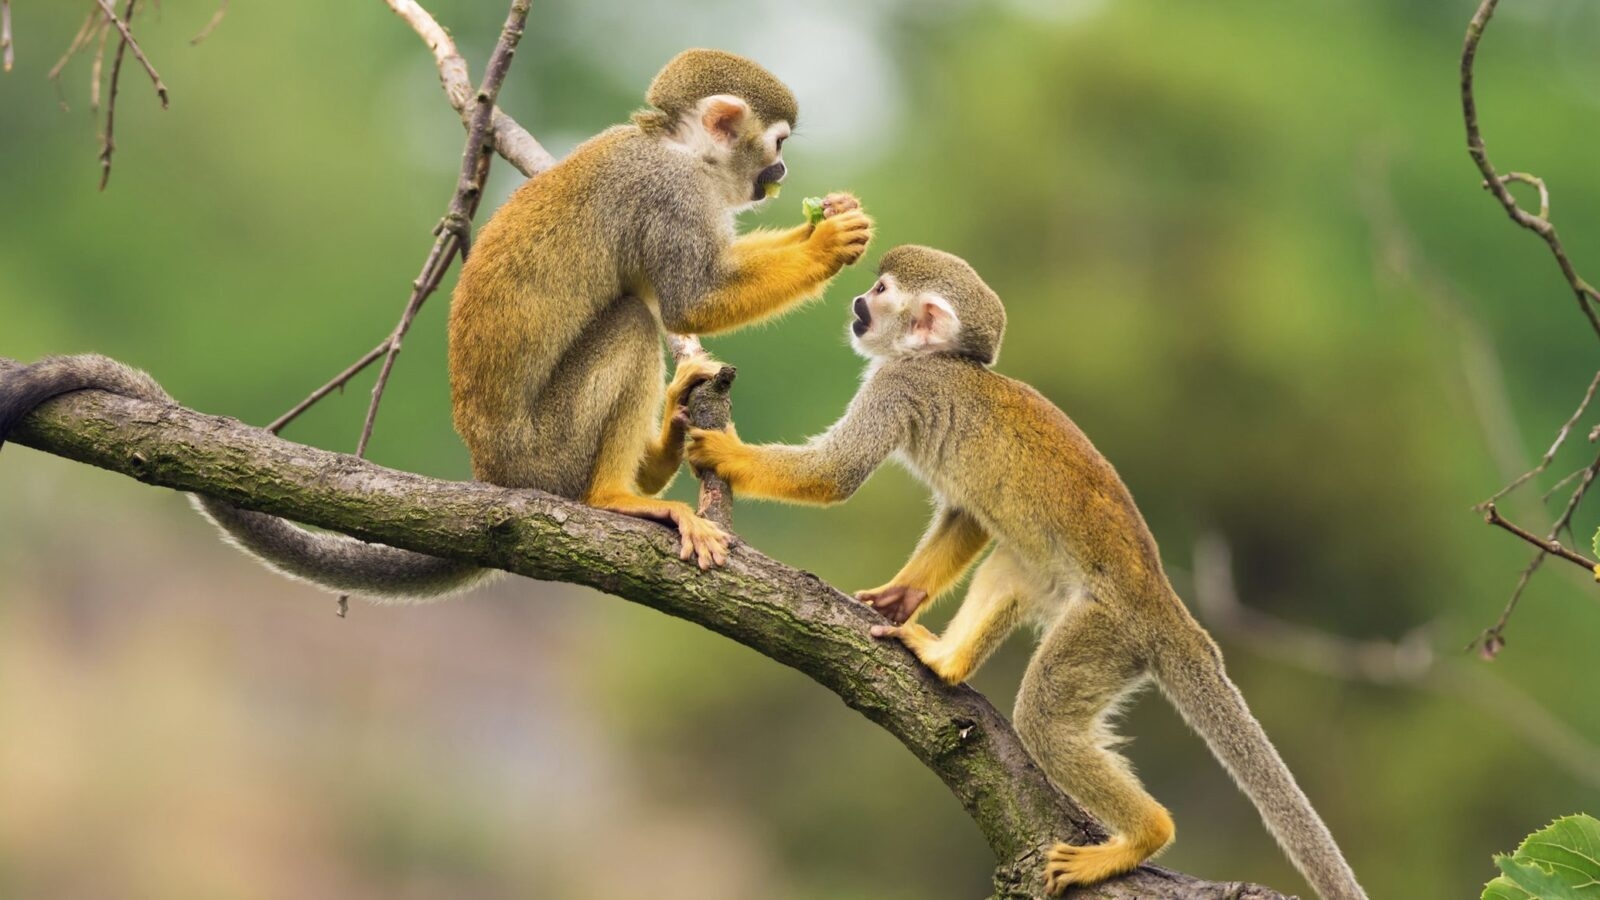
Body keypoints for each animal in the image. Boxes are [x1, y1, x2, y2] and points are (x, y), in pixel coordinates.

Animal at [0, 49, 872, 601]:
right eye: (776, 144)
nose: (781, 173)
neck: (678, 150)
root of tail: (492, 477)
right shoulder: (668, 196)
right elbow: (691, 298)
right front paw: (827, 241)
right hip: (544, 452)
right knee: (630, 318)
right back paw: (617, 495)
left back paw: (661, 449)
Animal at [682, 245, 1368, 900]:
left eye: (879, 291)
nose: (855, 303)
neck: (944, 363)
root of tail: (1169, 611)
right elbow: (967, 516)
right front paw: (902, 596)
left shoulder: (899, 386)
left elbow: (836, 475)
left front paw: (724, 450)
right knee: (1012, 564)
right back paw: (947, 662)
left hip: (1108, 633)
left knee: (1045, 717)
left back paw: (1142, 836)